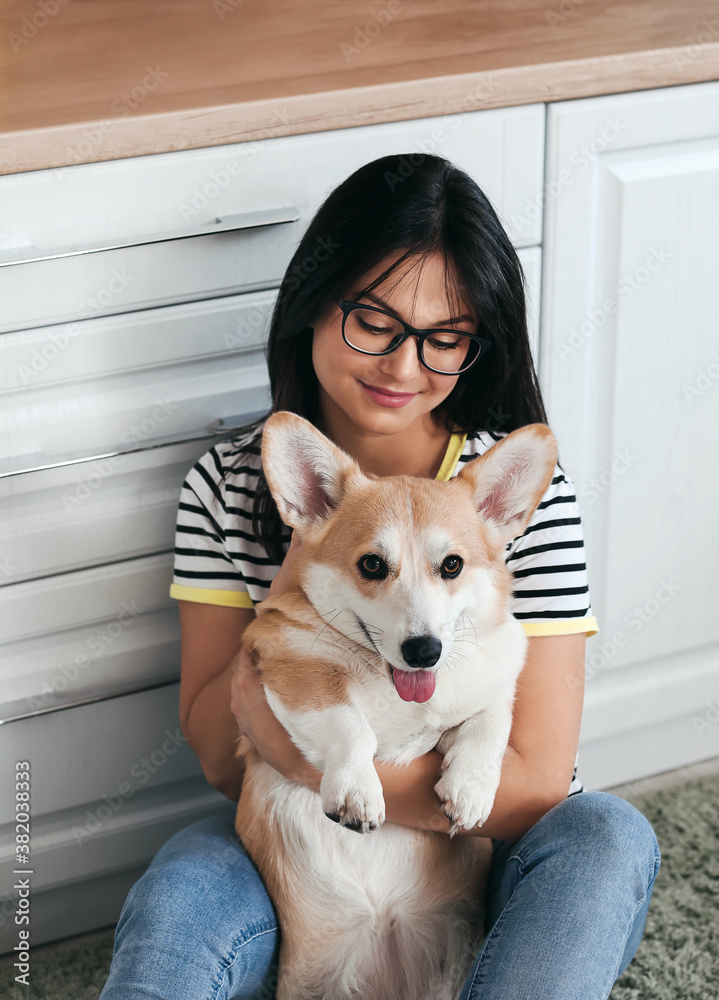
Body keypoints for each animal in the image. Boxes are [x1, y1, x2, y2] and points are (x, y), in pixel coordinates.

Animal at [233, 410, 560, 1000]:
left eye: (452, 565)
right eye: (371, 564)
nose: (424, 650)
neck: (391, 681)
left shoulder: (495, 683)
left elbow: (489, 723)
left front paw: (470, 790)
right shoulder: (291, 665)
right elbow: (351, 726)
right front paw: (356, 791)